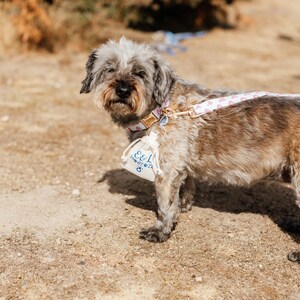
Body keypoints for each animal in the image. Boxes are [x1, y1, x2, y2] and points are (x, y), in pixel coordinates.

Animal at [80, 38, 300, 260]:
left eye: (140, 73)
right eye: (109, 69)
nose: (123, 90)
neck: (161, 110)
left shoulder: (166, 172)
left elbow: (165, 205)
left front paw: (159, 230)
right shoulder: (180, 168)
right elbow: (186, 187)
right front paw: (183, 207)